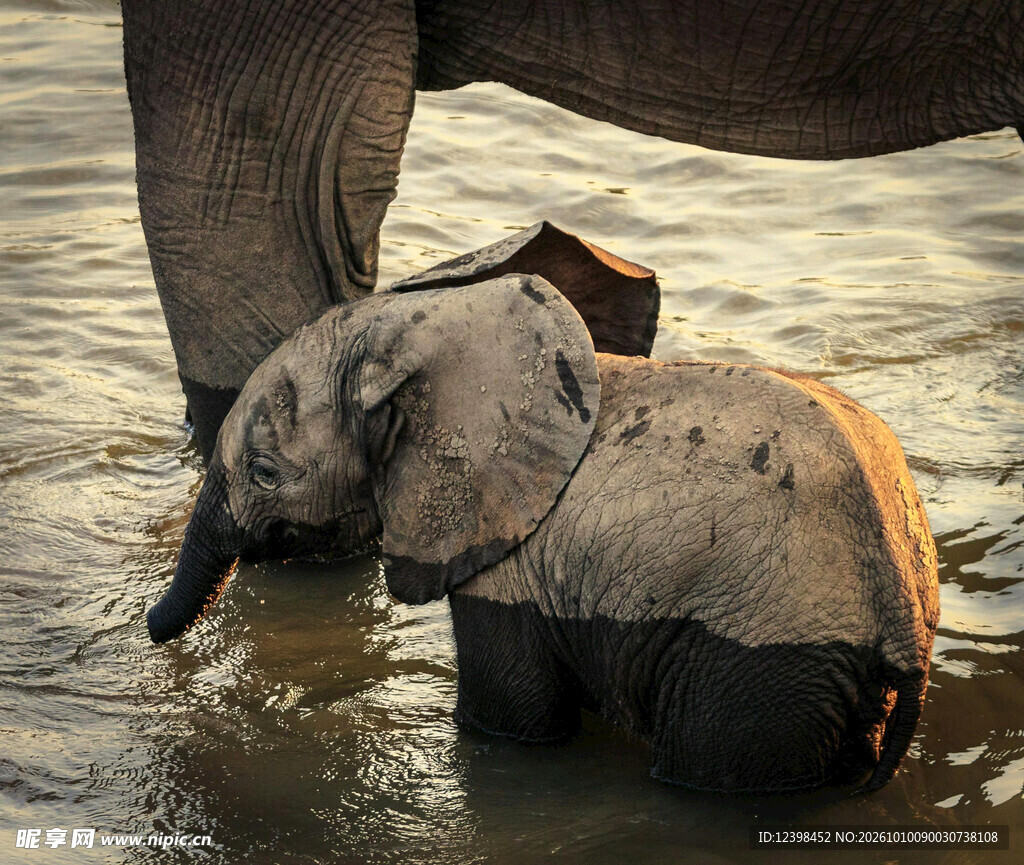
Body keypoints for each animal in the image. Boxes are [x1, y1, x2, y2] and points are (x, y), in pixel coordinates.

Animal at [147, 270, 940, 794]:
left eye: (265, 472)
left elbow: (514, 718)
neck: (425, 324)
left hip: (760, 658)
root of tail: (902, 618)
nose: (152, 633)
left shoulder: (513, 565)